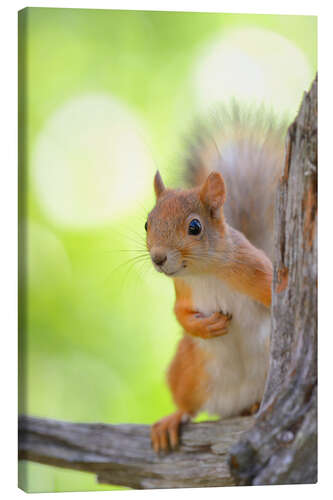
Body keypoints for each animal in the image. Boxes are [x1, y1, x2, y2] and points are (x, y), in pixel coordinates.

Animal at [144, 105, 284, 454]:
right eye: (147, 223)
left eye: (194, 227)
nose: (158, 258)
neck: (204, 272)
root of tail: (231, 404)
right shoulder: (183, 290)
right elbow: (180, 314)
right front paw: (205, 326)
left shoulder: (255, 269)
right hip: (188, 370)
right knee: (188, 406)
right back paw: (172, 420)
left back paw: (253, 405)